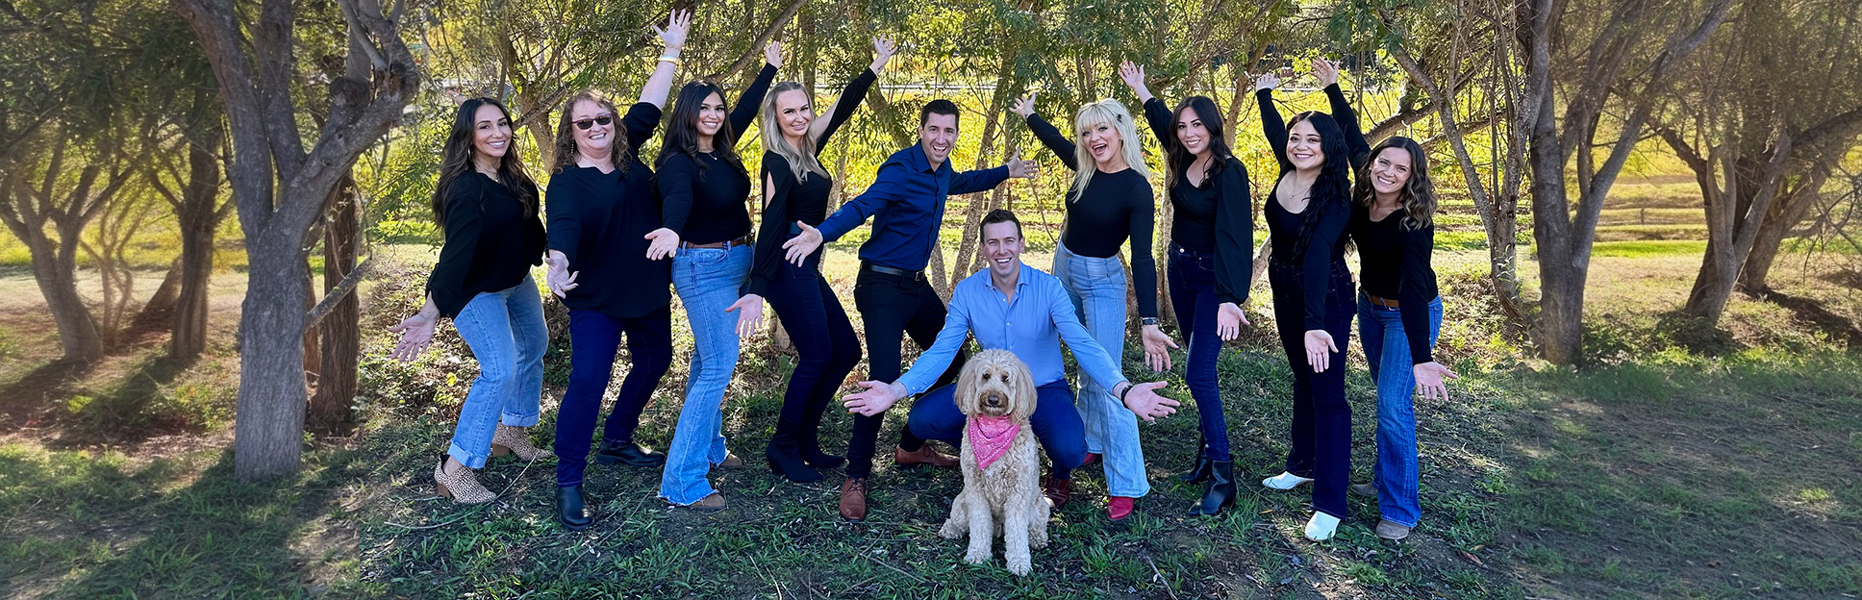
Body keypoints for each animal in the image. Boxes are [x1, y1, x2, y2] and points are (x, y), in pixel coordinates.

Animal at [938, 349, 1049, 576]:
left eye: (1006, 378)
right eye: (986, 376)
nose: (993, 399)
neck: (993, 427)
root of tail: (999, 526)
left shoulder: (1018, 492)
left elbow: (1017, 531)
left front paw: (1019, 562)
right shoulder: (975, 488)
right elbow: (980, 524)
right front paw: (978, 553)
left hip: (1039, 508)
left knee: (1035, 528)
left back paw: (1037, 539)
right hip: (961, 503)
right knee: (961, 521)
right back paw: (951, 529)